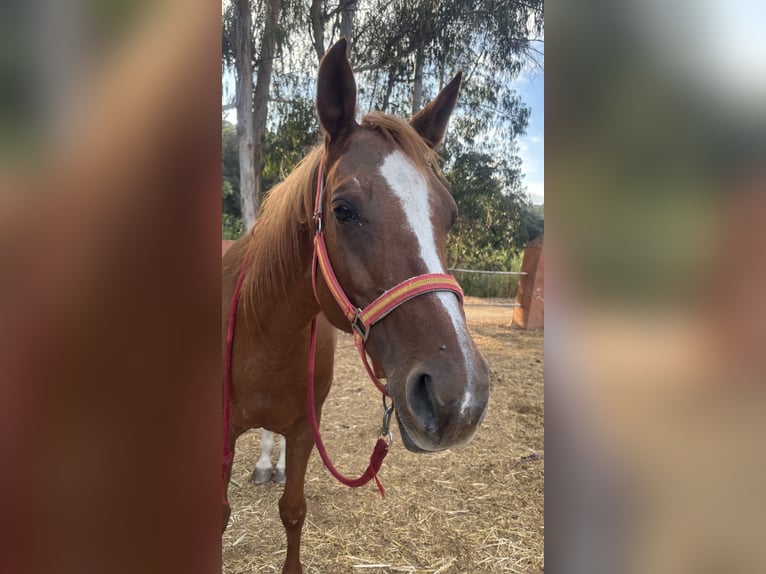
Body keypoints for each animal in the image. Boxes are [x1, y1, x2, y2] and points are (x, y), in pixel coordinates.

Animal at [222, 38, 490, 574]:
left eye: (450, 216)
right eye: (343, 210)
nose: (461, 399)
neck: (260, 336)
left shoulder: (305, 431)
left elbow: (293, 510)